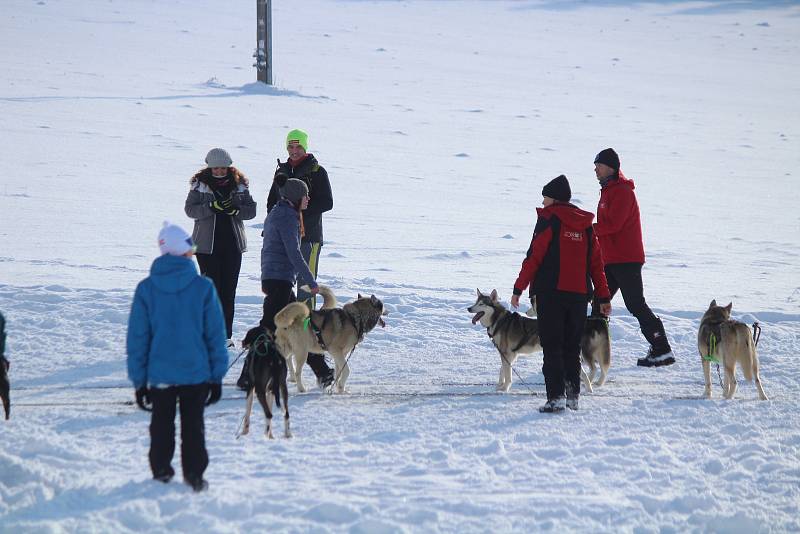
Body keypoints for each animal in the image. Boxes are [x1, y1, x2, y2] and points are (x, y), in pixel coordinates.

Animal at [466, 288, 608, 394]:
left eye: (481, 304)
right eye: (475, 303)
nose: (469, 308)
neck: (497, 320)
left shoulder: (507, 353)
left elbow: (508, 375)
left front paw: (505, 389)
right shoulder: (508, 355)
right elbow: (503, 370)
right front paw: (500, 386)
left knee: (588, 371)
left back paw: (589, 388)